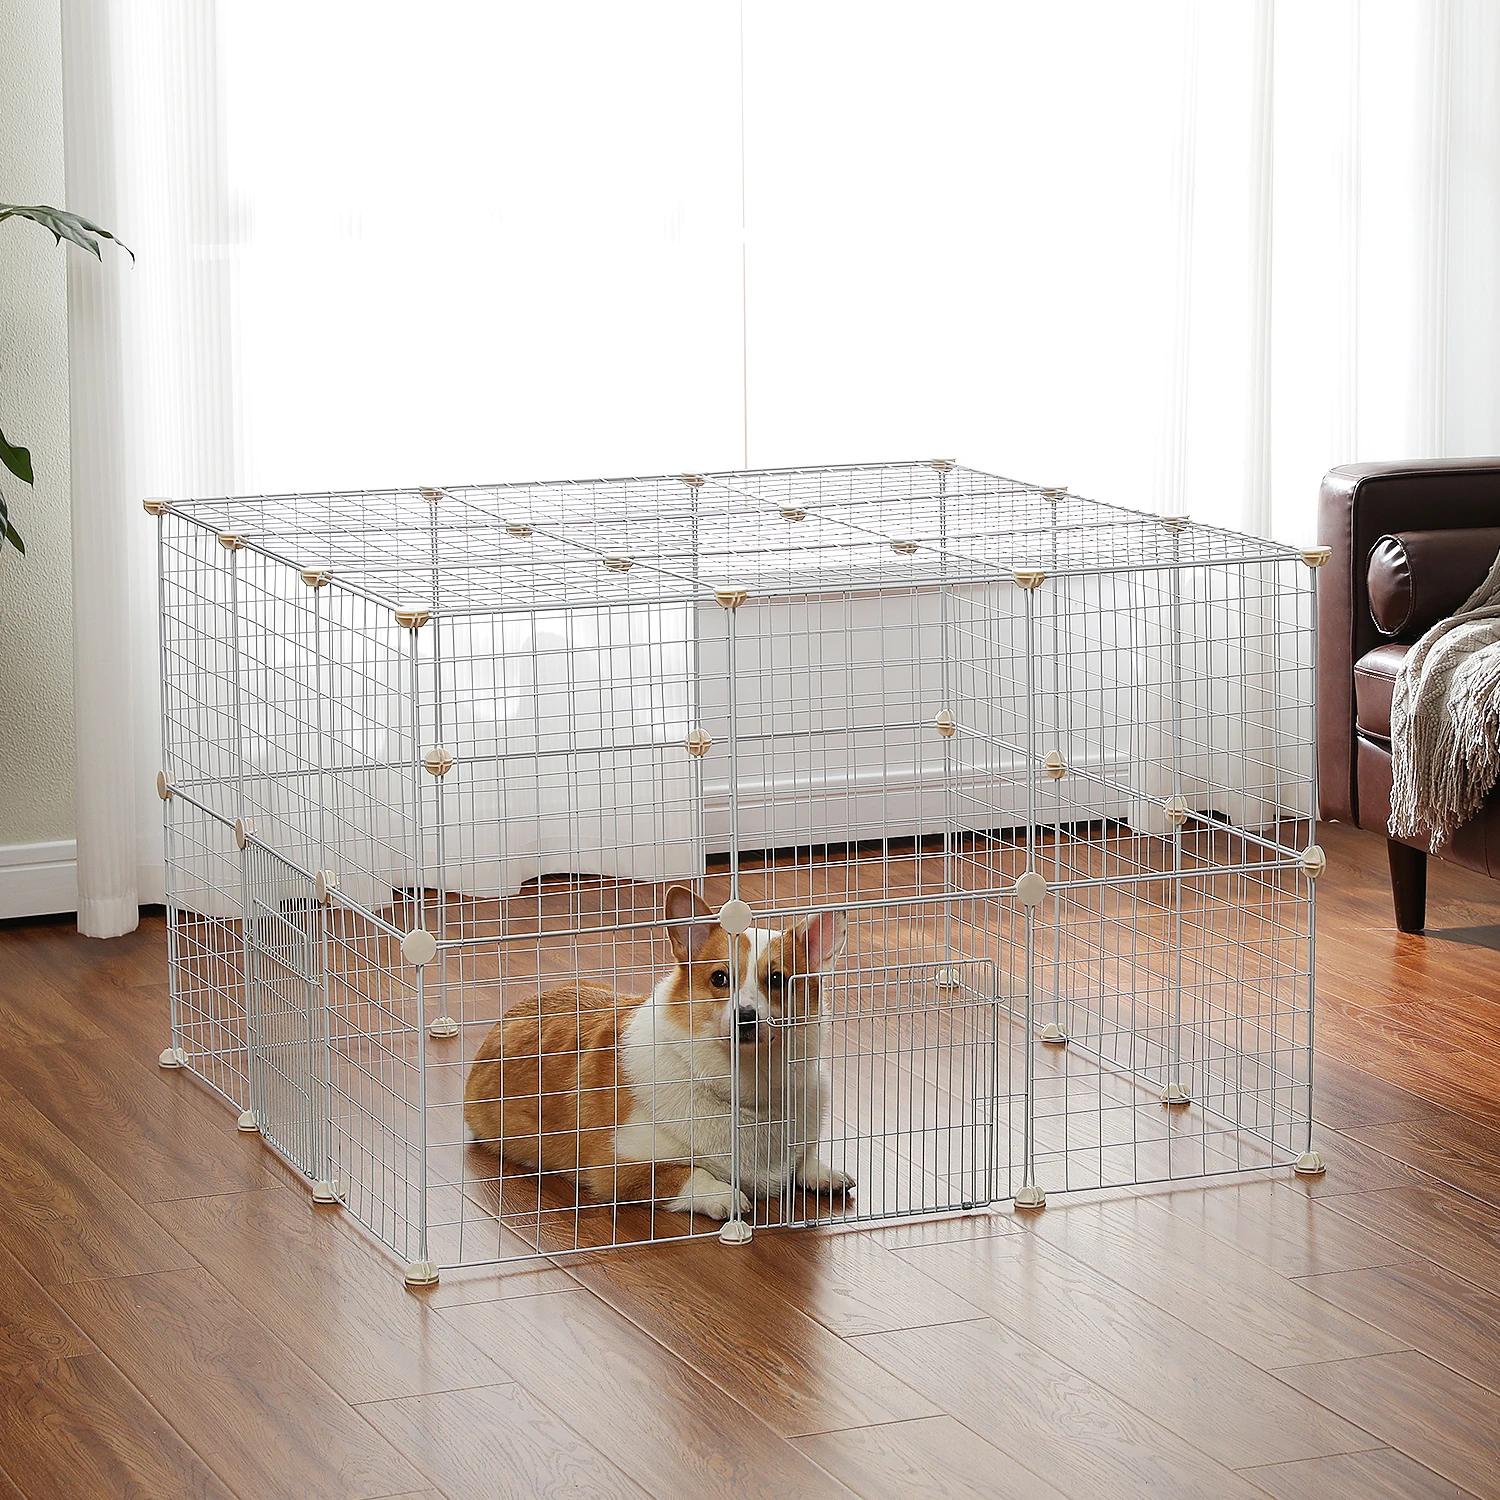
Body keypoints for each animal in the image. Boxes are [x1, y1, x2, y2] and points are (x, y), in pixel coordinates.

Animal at [462, 885, 854, 1219]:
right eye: (719, 978)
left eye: (777, 979)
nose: (745, 1017)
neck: (747, 1087)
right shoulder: (621, 1166)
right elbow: (691, 1174)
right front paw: (725, 1196)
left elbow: (804, 1158)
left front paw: (823, 1172)